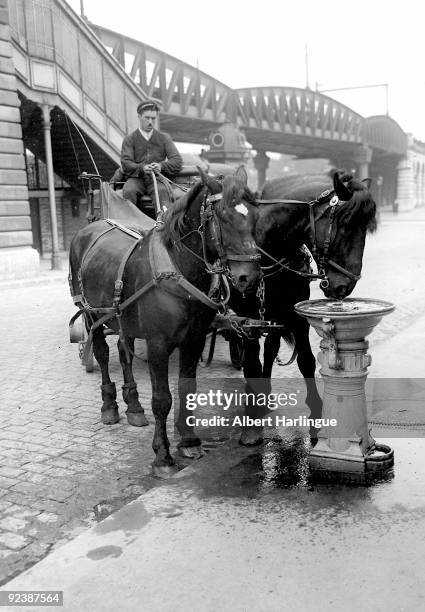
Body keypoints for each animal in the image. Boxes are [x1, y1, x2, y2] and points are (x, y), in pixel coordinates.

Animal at [68, 165, 260, 476]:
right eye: (223, 215)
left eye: (255, 214)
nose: (248, 277)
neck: (178, 269)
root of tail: (90, 228)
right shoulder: (158, 344)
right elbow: (162, 399)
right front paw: (163, 455)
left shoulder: (194, 340)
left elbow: (187, 389)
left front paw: (190, 442)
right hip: (91, 314)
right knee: (102, 352)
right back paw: (109, 406)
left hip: (123, 320)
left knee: (124, 352)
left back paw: (134, 406)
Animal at [232, 170, 378, 442]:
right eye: (345, 224)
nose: (345, 287)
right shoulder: (247, 321)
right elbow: (251, 365)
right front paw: (251, 422)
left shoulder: (295, 316)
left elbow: (306, 362)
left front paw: (317, 416)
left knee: (271, 348)